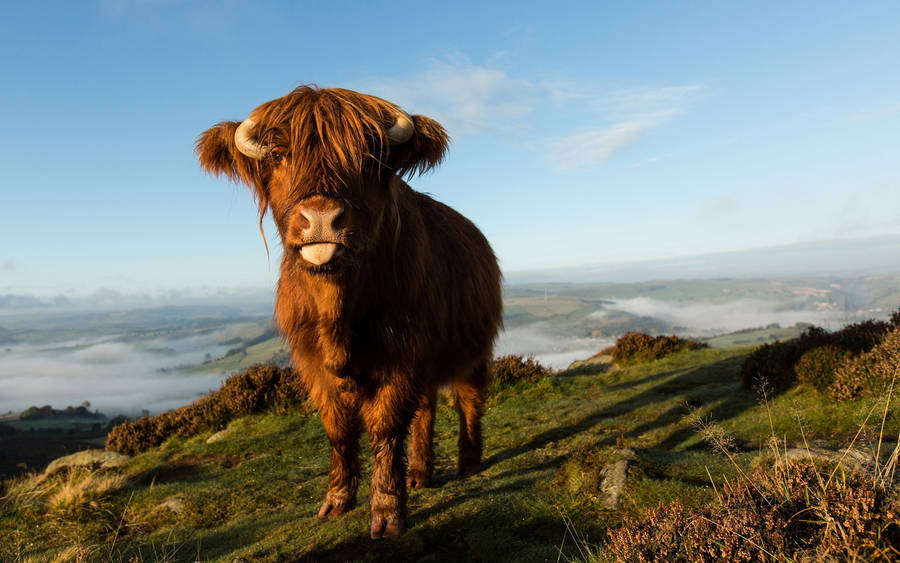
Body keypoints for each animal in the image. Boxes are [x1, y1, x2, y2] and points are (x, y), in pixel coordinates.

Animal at [196, 85, 503, 539]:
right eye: (277, 154)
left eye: (367, 159)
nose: (322, 218)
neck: (336, 310)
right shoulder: (311, 359)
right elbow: (338, 428)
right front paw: (337, 499)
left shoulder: (403, 353)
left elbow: (386, 426)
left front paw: (388, 513)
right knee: (426, 406)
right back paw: (419, 472)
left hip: (474, 349)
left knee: (468, 399)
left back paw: (467, 462)